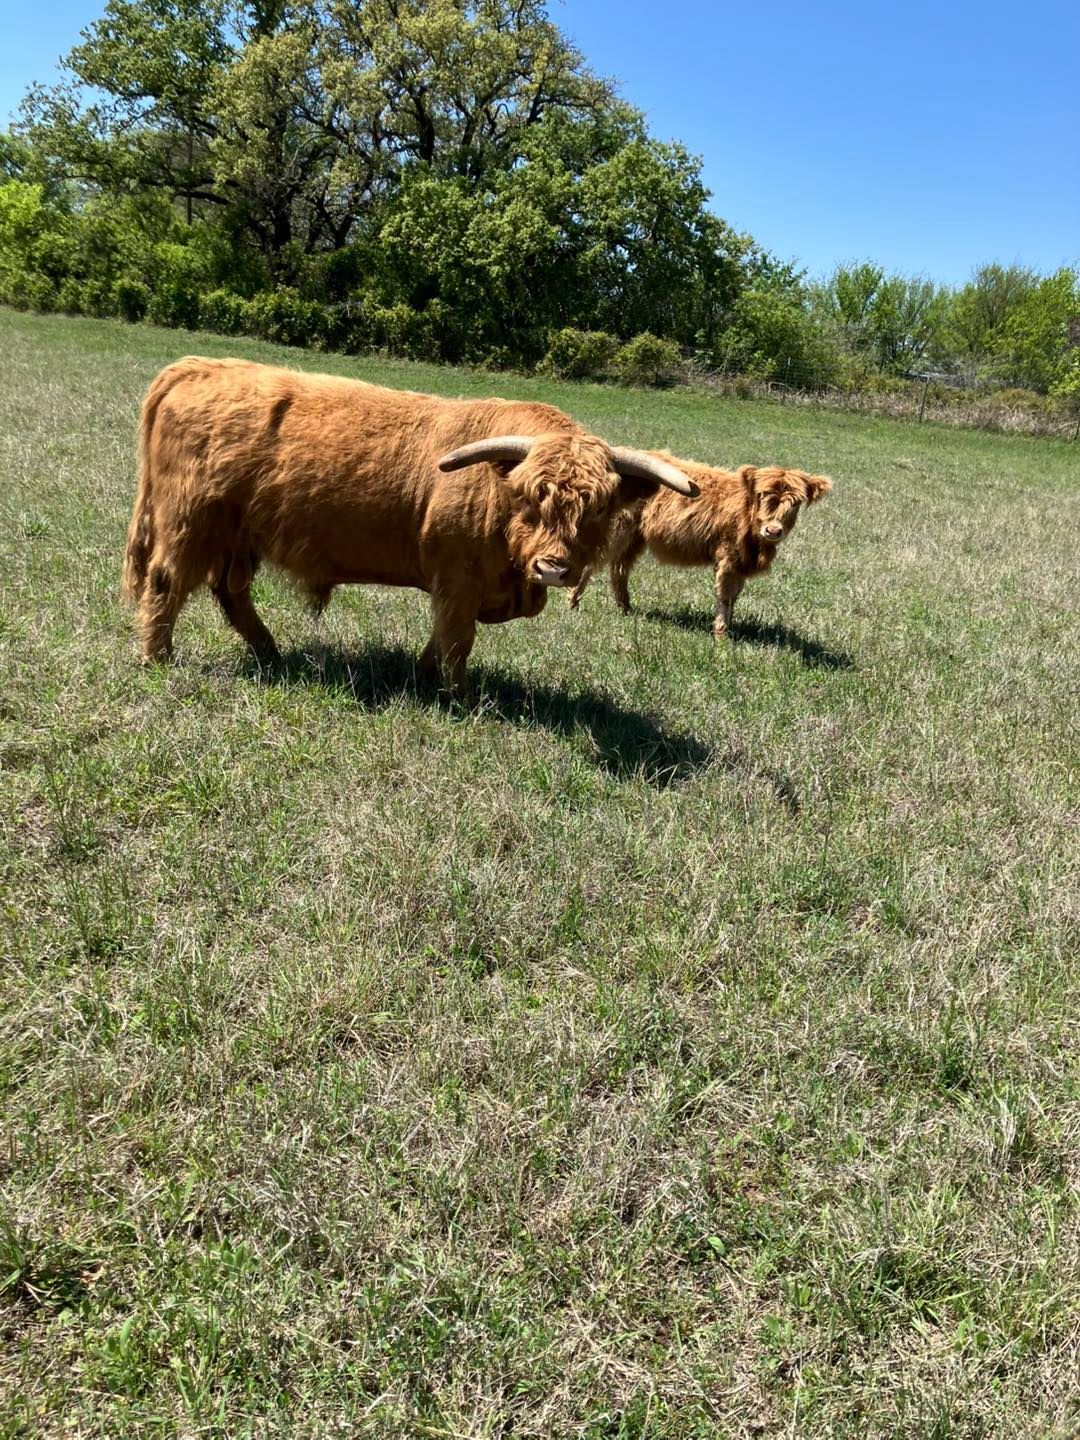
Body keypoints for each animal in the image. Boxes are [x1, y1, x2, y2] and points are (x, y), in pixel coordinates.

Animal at [122, 357, 695, 688]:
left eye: (597, 508)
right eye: (530, 499)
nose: (553, 569)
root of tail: (199, 367)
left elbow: (442, 637)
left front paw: (424, 673)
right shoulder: (458, 580)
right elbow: (457, 638)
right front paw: (456, 695)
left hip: (237, 536)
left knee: (230, 592)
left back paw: (271, 653)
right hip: (191, 523)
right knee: (165, 583)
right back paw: (157, 659)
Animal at [568, 461, 832, 638]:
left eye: (795, 503)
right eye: (762, 495)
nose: (774, 530)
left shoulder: (741, 564)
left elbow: (734, 596)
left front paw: (728, 627)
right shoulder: (728, 557)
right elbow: (724, 595)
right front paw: (722, 636)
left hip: (634, 539)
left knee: (620, 569)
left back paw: (626, 609)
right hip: (617, 532)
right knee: (593, 564)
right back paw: (573, 603)